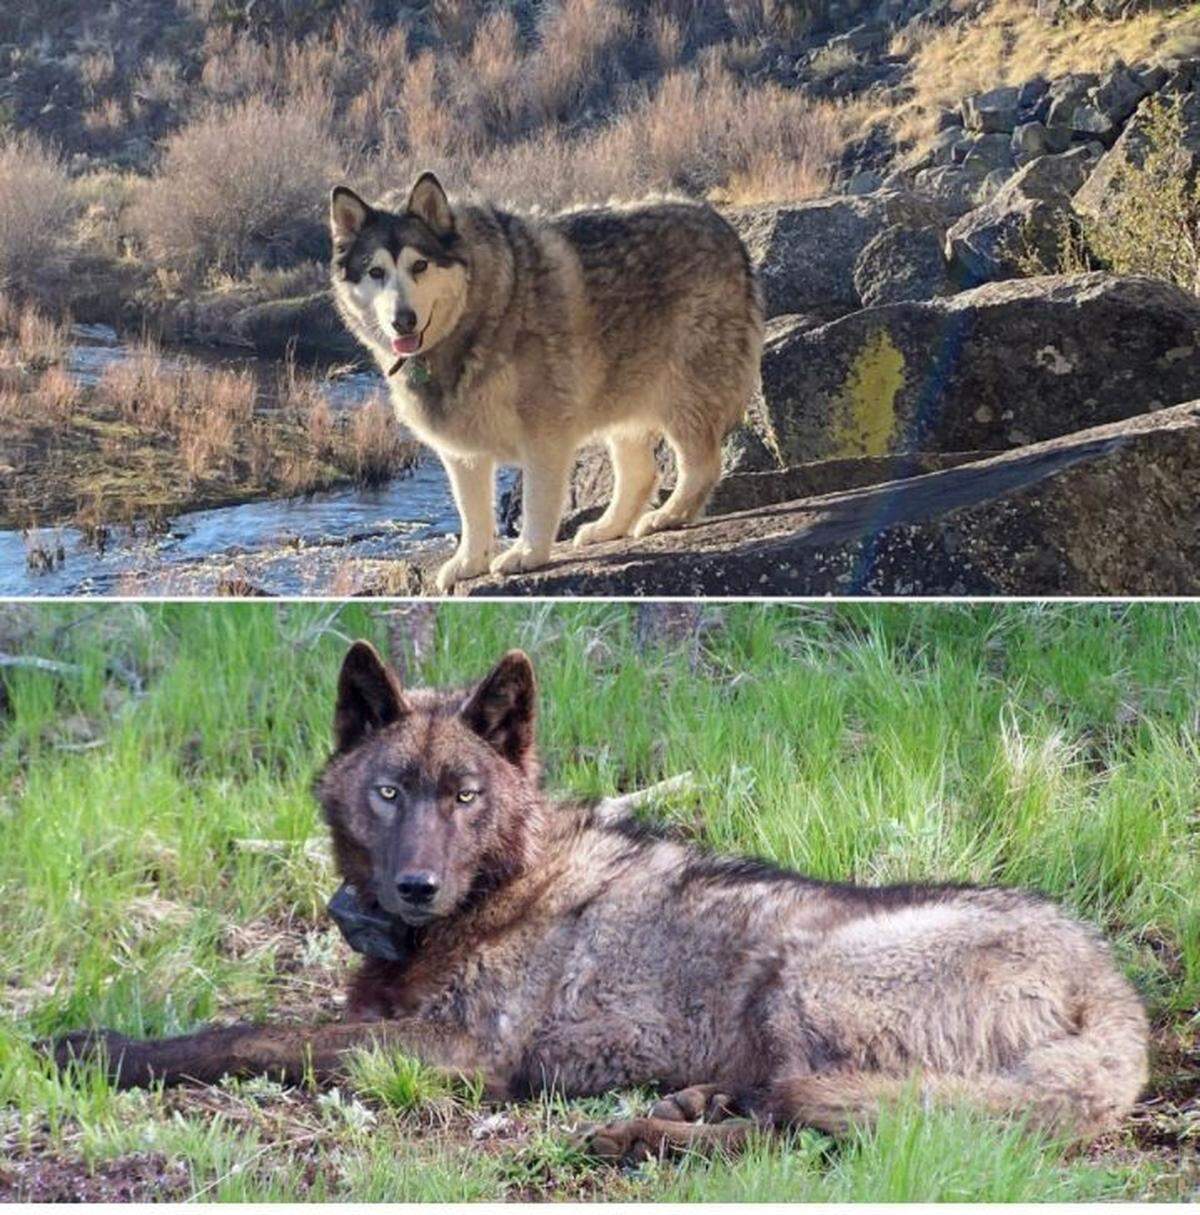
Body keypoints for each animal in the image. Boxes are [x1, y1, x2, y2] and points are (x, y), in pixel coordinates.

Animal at [53, 643, 1148, 1164]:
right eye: (392, 792)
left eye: (465, 796)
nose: (416, 885)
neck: (498, 888)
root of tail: (1115, 992)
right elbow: (266, 1025)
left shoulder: (460, 1054)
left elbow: (250, 1037)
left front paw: (102, 1049)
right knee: (810, 1111)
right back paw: (688, 1106)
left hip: (799, 975)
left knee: (816, 1123)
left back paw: (640, 1135)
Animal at [328, 174, 763, 592]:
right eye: (376, 272)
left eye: (419, 265)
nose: (403, 320)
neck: (477, 310)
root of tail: (720, 223)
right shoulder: (462, 452)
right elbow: (472, 513)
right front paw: (471, 562)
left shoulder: (543, 430)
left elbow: (537, 501)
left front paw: (528, 554)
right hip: (623, 395)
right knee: (640, 474)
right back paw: (609, 527)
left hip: (685, 392)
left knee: (701, 466)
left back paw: (669, 516)